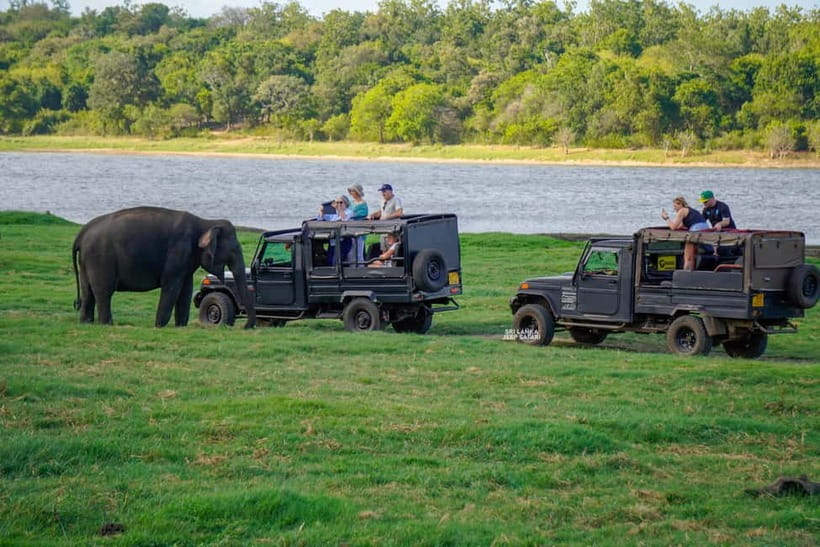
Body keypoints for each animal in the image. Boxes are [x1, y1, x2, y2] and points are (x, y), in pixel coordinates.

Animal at [72, 206, 256, 328]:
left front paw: (180, 326)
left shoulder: (187, 260)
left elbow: (186, 290)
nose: (247, 326)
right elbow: (172, 287)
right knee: (104, 292)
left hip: (87, 261)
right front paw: (159, 326)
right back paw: (108, 324)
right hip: (100, 258)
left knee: (88, 292)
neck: (204, 222)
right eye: (234, 250)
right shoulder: (178, 252)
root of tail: (82, 232)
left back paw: (86, 323)